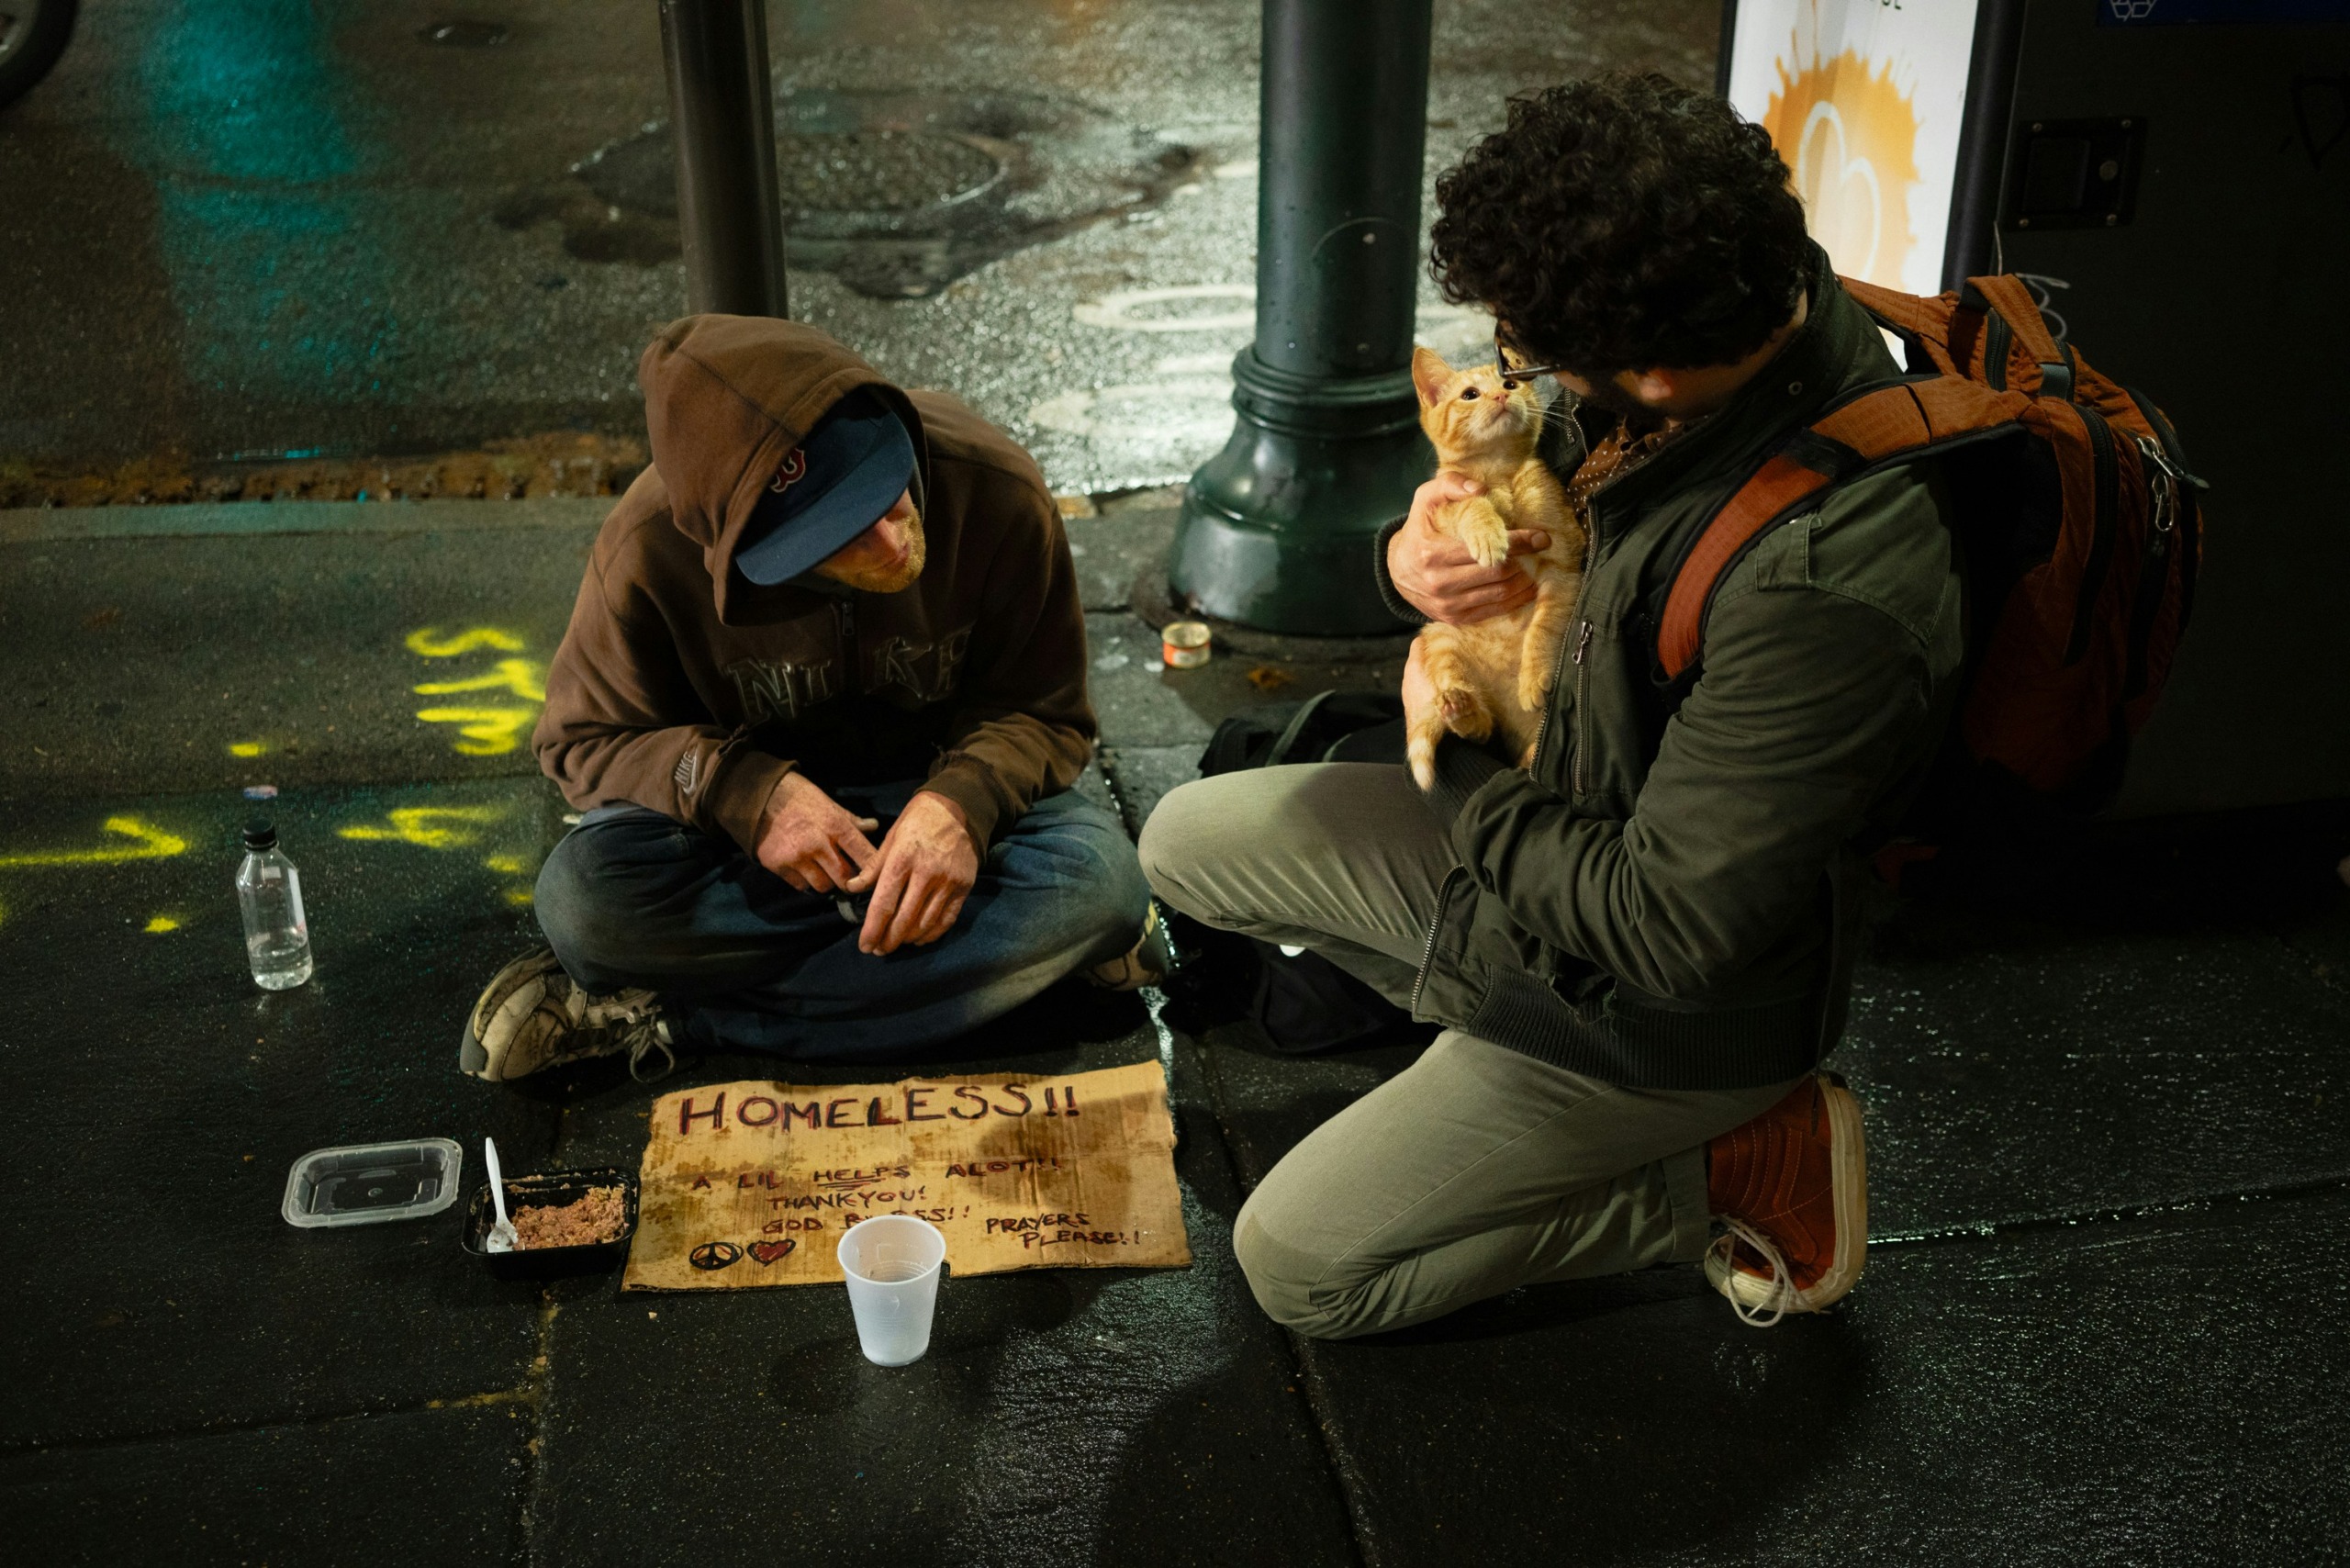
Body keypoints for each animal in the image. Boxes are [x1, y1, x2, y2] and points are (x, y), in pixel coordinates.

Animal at [1400, 341, 1588, 785]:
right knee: (1481, 729)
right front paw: (1488, 532)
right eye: (1470, 394)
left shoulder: (1564, 560)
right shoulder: (1442, 509)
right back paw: (1462, 708)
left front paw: (1534, 675)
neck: (1498, 472)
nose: (1502, 396)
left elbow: (1546, 625)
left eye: (1510, 383)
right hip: (1442, 636)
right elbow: (1470, 504)